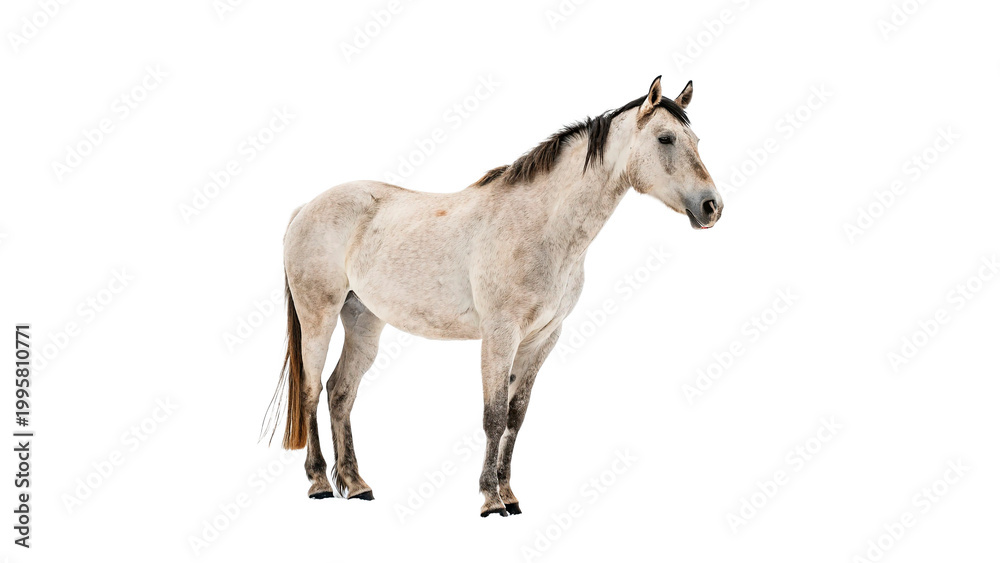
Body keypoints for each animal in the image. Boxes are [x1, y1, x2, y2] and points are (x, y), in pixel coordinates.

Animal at [264, 76, 723, 517]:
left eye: (697, 141)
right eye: (665, 138)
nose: (712, 206)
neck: (542, 226)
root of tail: (305, 208)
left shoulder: (542, 339)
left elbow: (516, 418)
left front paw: (510, 495)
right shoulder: (500, 335)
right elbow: (494, 416)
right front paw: (489, 500)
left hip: (363, 321)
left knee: (340, 392)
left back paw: (357, 485)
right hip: (318, 317)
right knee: (311, 390)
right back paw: (320, 483)